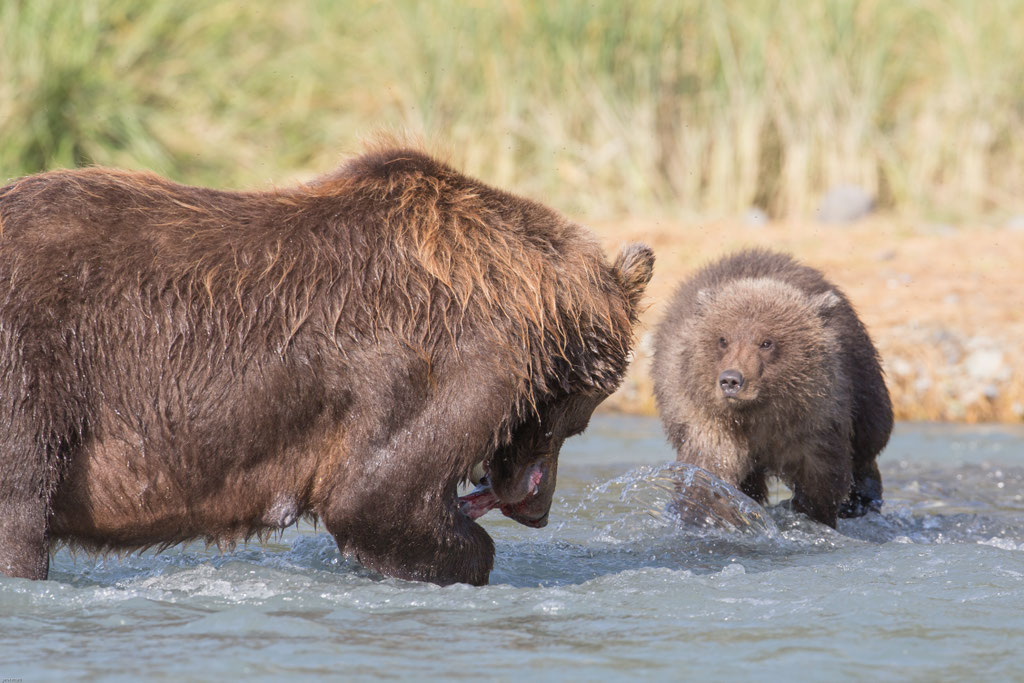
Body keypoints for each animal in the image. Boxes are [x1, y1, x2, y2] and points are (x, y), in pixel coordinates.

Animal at [0, 146, 654, 585]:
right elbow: (375, 497)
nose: (538, 512)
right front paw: (473, 556)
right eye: (577, 419)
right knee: (21, 510)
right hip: (35, 371)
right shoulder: (442, 362)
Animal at [651, 248, 892, 528]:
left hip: (863, 381)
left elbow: (821, 478)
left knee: (869, 438)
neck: (760, 415)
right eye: (723, 339)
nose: (731, 380)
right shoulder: (712, 422)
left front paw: (813, 515)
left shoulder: (814, 423)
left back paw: (861, 500)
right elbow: (710, 473)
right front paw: (706, 515)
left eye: (766, 342)